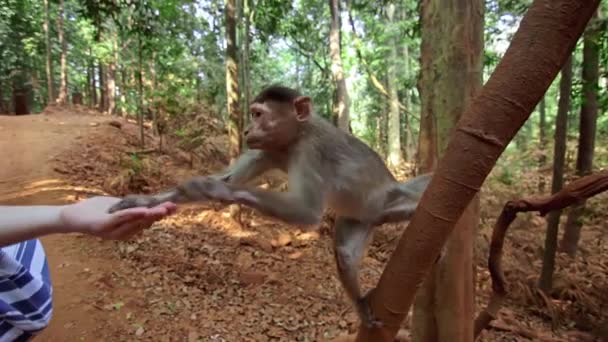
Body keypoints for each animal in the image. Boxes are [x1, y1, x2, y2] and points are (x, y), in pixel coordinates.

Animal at [109, 84, 432, 328]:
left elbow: (307, 211)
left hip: (392, 202)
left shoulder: (309, 151)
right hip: (362, 219)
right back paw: (361, 303)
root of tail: (391, 188)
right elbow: (229, 176)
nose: (247, 130)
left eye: (258, 114)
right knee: (344, 252)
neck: (295, 137)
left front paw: (219, 190)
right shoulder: (270, 150)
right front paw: (148, 200)